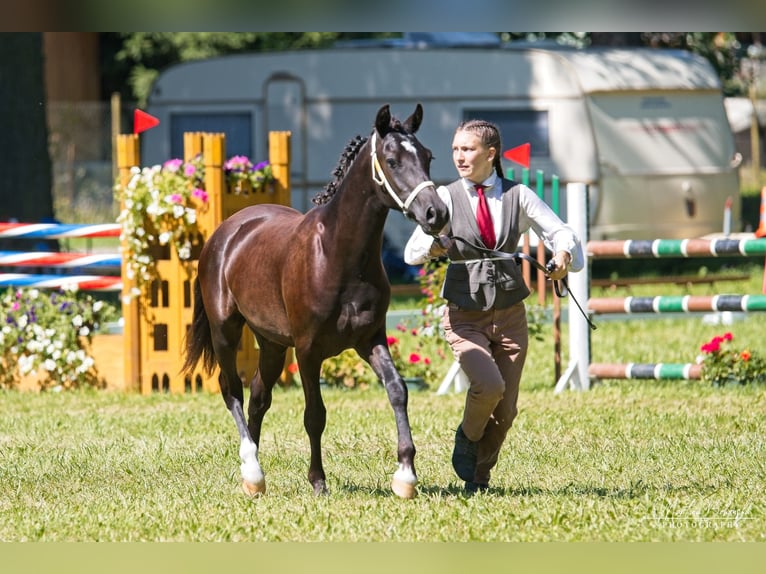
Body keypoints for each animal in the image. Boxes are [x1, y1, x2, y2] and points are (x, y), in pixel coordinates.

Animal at [183, 104, 450, 500]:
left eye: (427, 157)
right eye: (392, 160)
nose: (436, 214)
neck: (338, 256)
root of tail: (227, 230)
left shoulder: (370, 340)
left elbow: (397, 390)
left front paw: (405, 476)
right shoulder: (308, 350)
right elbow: (315, 414)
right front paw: (318, 481)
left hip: (272, 344)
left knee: (258, 397)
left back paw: (254, 472)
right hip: (225, 333)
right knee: (232, 391)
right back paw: (251, 469)